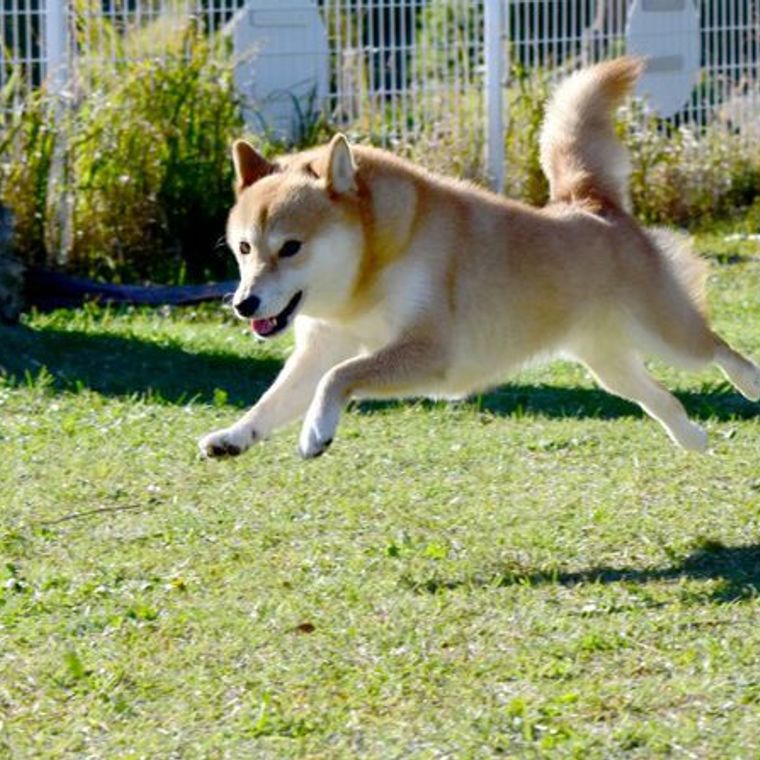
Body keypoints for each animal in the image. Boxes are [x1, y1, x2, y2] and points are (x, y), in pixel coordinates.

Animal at [200, 56, 760, 460]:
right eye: (245, 248)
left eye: (291, 247)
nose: (244, 304)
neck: (370, 270)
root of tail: (592, 204)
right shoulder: (321, 346)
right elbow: (276, 399)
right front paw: (236, 436)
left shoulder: (429, 351)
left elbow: (339, 377)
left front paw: (316, 430)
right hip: (607, 363)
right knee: (661, 398)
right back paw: (693, 438)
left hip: (666, 335)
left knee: (718, 348)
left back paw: (751, 383)